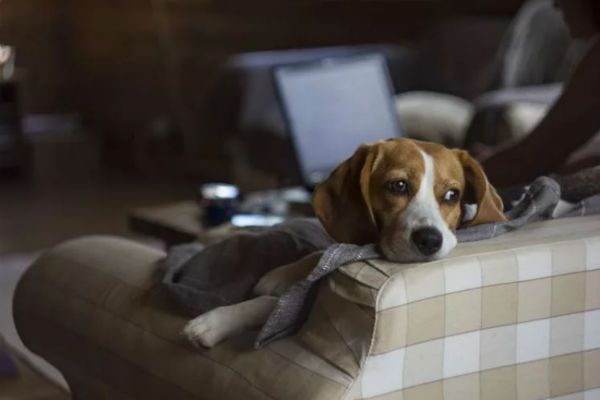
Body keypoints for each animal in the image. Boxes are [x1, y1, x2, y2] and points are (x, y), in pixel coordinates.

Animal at [183, 139, 506, 348]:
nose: (430, 240)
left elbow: (274, 303)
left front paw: (216, 321)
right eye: (398, 186)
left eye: (452, 195)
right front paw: (282, 273)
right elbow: (317, 252)